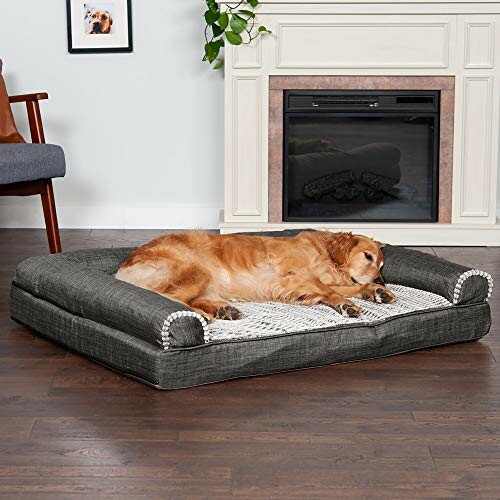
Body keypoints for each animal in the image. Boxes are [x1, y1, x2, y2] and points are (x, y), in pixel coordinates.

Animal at [117, 229, 394, 320]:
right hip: (198, 269)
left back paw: (223, 309)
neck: (324, 253)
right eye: (367, 256)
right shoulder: (292, 276)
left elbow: (342, 288)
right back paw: (202, 315)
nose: (380, 279)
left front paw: (376, 291)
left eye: (381, 265)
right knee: (167, 295)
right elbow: (329, 290)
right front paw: (347, 304)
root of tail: (122, 268)